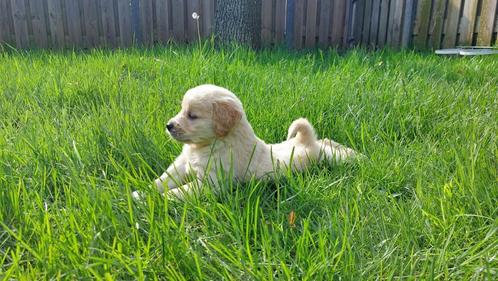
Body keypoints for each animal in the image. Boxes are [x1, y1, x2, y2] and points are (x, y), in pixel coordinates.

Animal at [149, 84, 358, 198]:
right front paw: (143, 193)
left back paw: (357, 157)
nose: (168, 126)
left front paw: (158, 200)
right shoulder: (181, 165)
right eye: (182, 110)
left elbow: (177, 192)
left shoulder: (210, 183)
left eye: (192, 116)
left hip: (323, 157)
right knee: (327, 140)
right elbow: (162, 180)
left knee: (335, 152)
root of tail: (306, 140)